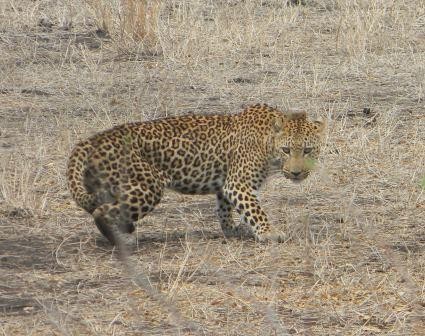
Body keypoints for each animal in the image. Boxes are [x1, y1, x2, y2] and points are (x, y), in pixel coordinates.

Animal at [67, 103, 324, 245]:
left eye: (308, 150)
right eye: (287, 150)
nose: (297, 173)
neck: (267, 142)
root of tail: (93, 139)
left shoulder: (225, 184)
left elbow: (224, 209)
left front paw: (231, 229)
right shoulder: (238, 183)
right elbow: (255, 210)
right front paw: (269, 233)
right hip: (148, 187)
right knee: (101, 212)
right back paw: (123, 240)